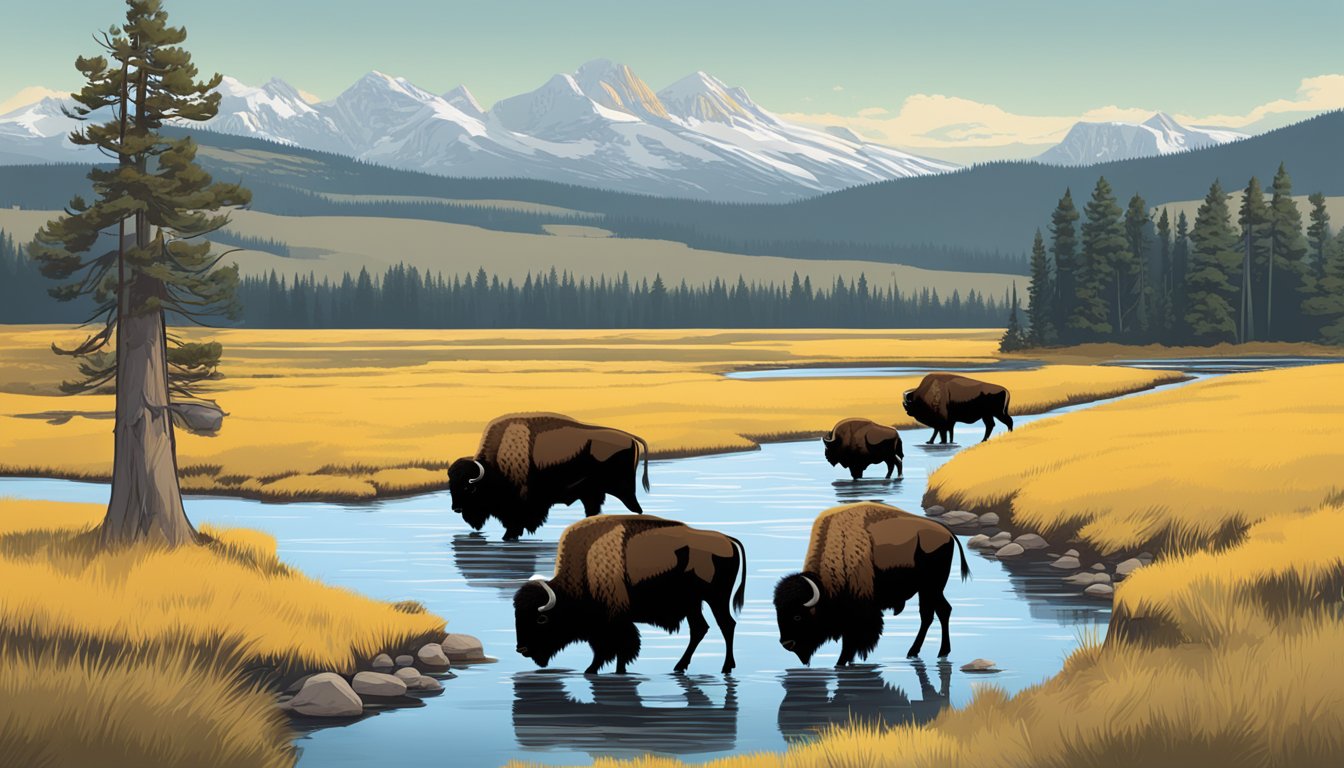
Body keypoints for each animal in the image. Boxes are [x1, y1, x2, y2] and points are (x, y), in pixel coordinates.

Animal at [446, 414, 650, 540]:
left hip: (623, 490)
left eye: (468, 487)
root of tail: (630, 438)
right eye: (450, 486)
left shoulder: (520, 505)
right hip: (594, 492)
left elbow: (516, 522)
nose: (456, 508)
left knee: (636, 508)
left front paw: (509, 536)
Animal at [510, 516, 747, 672]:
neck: (585, 568)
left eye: (541, 618)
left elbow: (618, 647)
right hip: (694, 603)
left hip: (716, 599)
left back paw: (726, 667)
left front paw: (604, 670)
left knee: (726, 625)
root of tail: (728, 539)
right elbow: (611, 649)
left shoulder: (615, 621)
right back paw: (679, 666)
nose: (521, 649)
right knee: (700, 628)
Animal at [779, 505, 967, 667]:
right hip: (927, 589)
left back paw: (939, 652)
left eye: (797, 616)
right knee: (932, 613)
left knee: (939, 611)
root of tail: (947, 533)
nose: (786, 643)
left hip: (932, 587)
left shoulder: (859, 609)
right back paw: (916, 652)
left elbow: (853, 638)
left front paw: (841, 661)